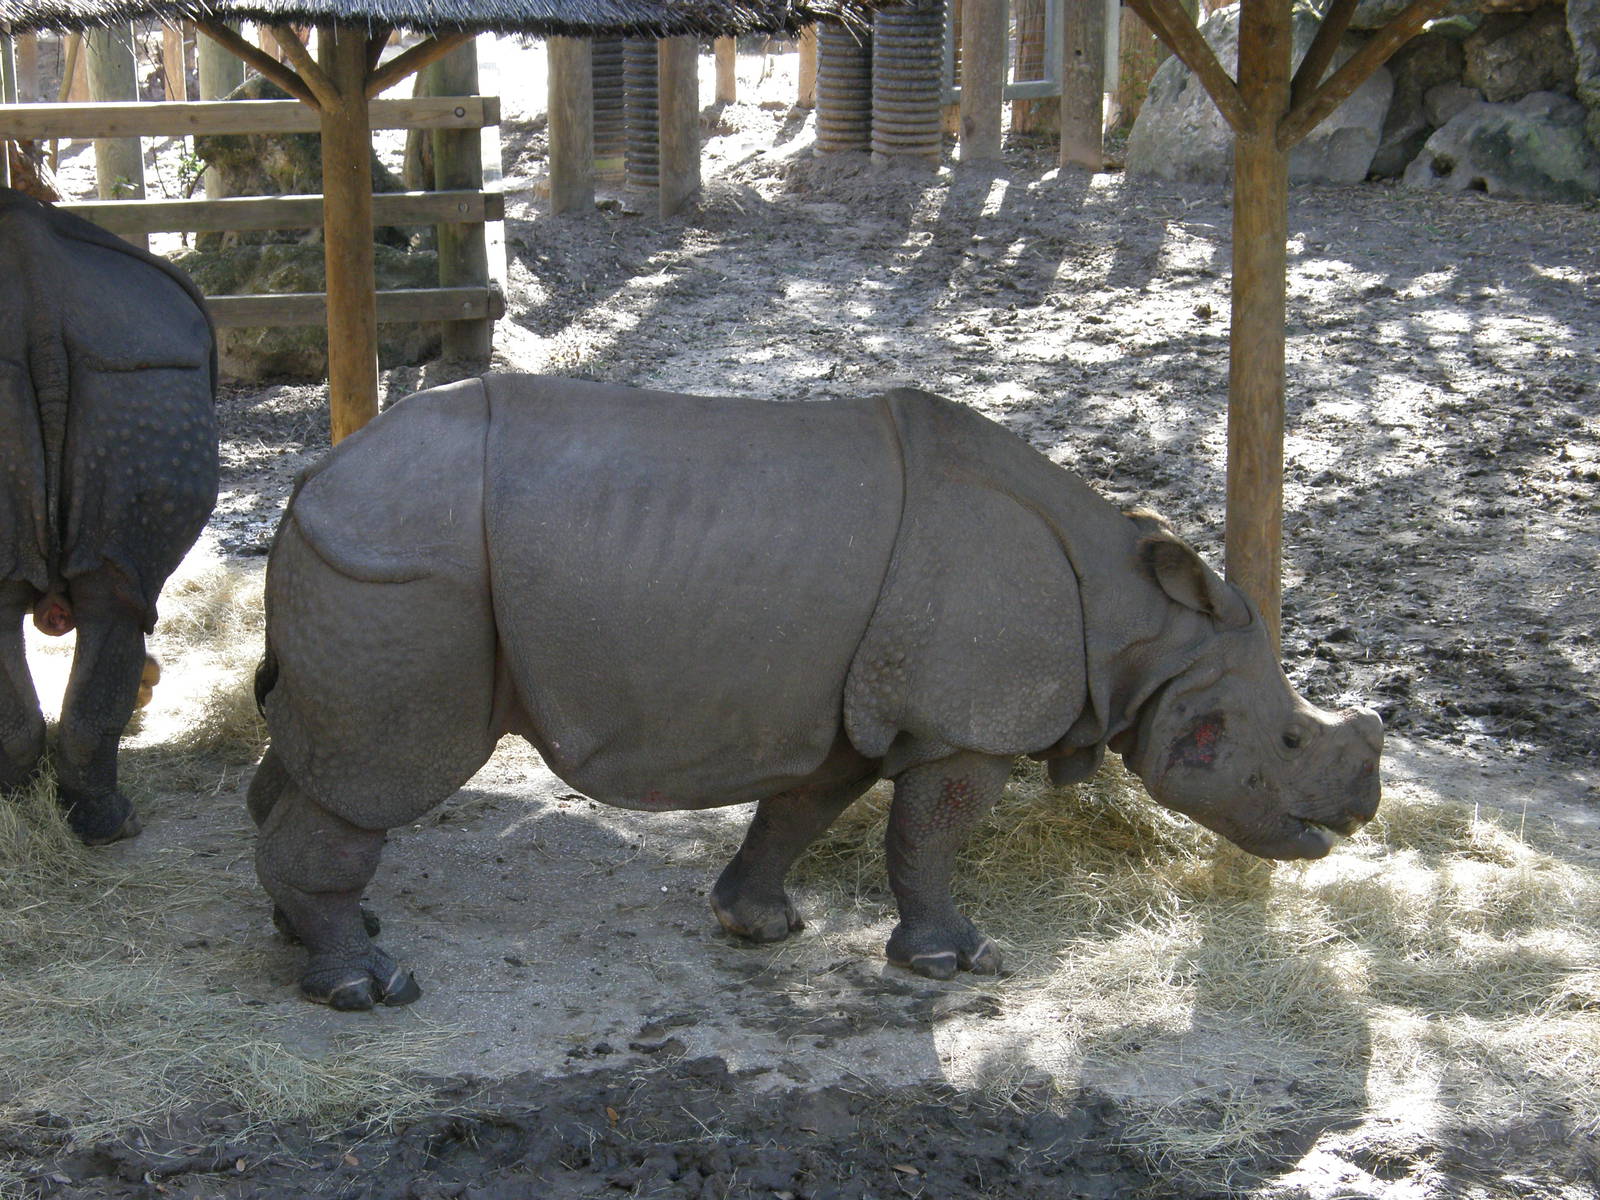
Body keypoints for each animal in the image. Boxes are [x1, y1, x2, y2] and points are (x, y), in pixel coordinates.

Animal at [0, 189, 218, 843]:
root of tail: (40, 301)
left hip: (142, 380)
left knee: (111, 601)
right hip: (142, 380)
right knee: (118, 599)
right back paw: (98, 823)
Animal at [251, 375, 1383, 1010]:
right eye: (1287, 743)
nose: (1354, 815)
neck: (1141, 624)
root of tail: (315, 473)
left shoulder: (847, 707)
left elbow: (800, 810)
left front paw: (756, 928)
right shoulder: (964, 720)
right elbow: (931, 833)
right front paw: (955, 962)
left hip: (366, 563)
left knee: (305, 757)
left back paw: (316, 939)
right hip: (403, 572)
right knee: (380, 776)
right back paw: (367, 989)